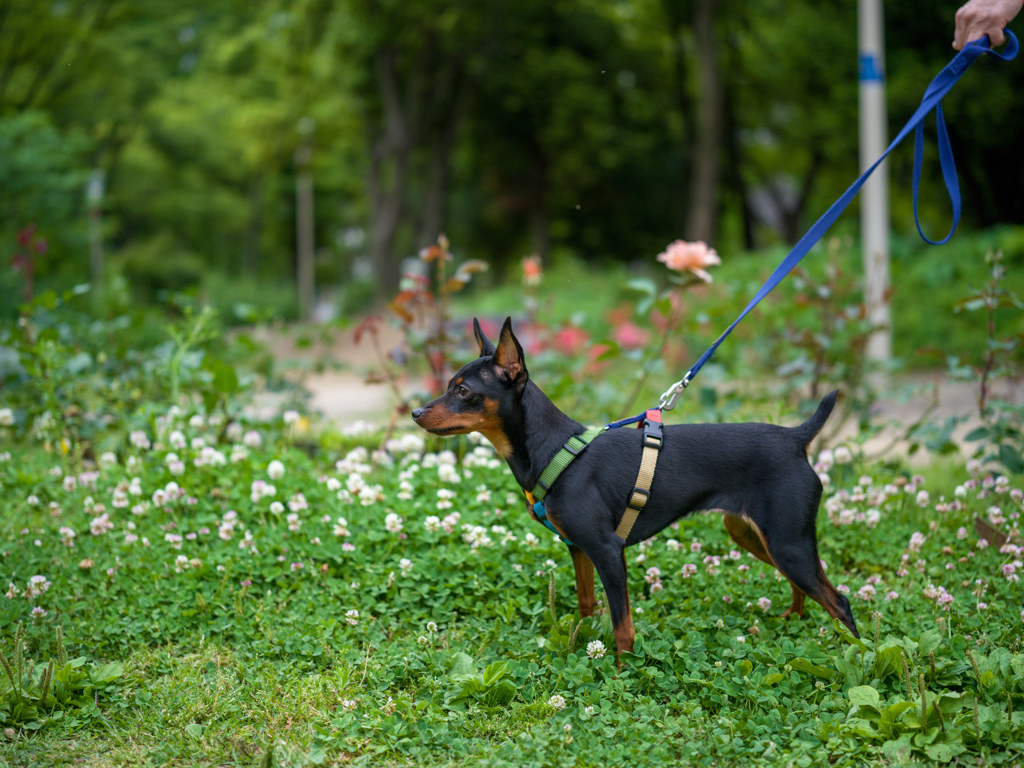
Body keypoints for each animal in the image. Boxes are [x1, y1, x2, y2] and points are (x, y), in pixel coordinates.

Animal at [409, 315, 856, 659]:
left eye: (463, 391)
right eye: (449, 385)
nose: (415, 413)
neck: (553, 449)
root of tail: (796, 438)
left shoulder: (608, 551)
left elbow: (622, 624)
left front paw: (623, 673)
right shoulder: (580, 549)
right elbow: (588, 604)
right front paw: (585, 643)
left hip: (787, 542)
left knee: (839, 601)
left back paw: (855, 654)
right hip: (754, 534)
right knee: (804, 586)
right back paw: (793, 622)